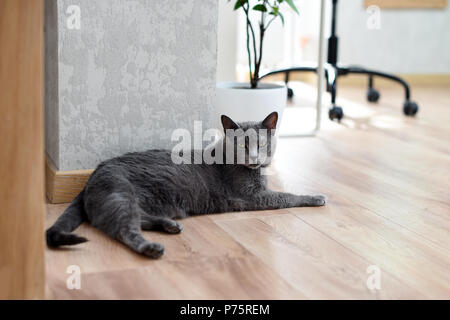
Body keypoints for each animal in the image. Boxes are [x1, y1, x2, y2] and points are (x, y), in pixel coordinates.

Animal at [45, 112, 326, 258]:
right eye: (242, 145)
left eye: (263, 144)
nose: (255, 157)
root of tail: (91, 176)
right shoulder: (251, 196)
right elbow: (286, 196)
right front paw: (315, 197)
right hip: (121, 194)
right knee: (124, 230)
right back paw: (153, 248)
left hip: (139, 200)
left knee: (139, 218)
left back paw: (170, 225)